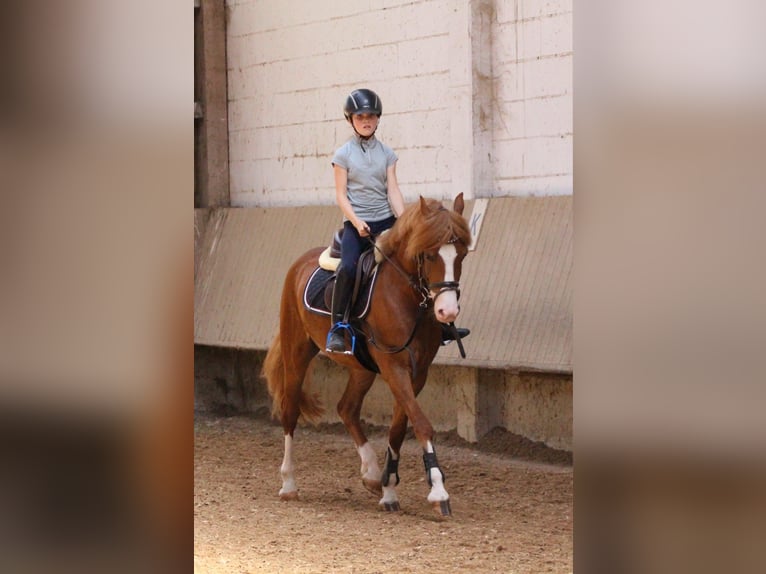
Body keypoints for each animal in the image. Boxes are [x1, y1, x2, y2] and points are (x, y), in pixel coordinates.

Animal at [263, 193, 471, 517]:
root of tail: (301, 261)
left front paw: (388, 489)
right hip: (296, 353)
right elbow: (421, 423)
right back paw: (288, 484)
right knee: (290, 411)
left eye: (460, 255)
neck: (406, 297)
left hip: (361, 368)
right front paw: (438, 490)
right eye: (429, 255)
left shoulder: (418, 372)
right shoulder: (393, 366)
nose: (446, 312)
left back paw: (371, 474)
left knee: (347, 408)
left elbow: (399, 429)